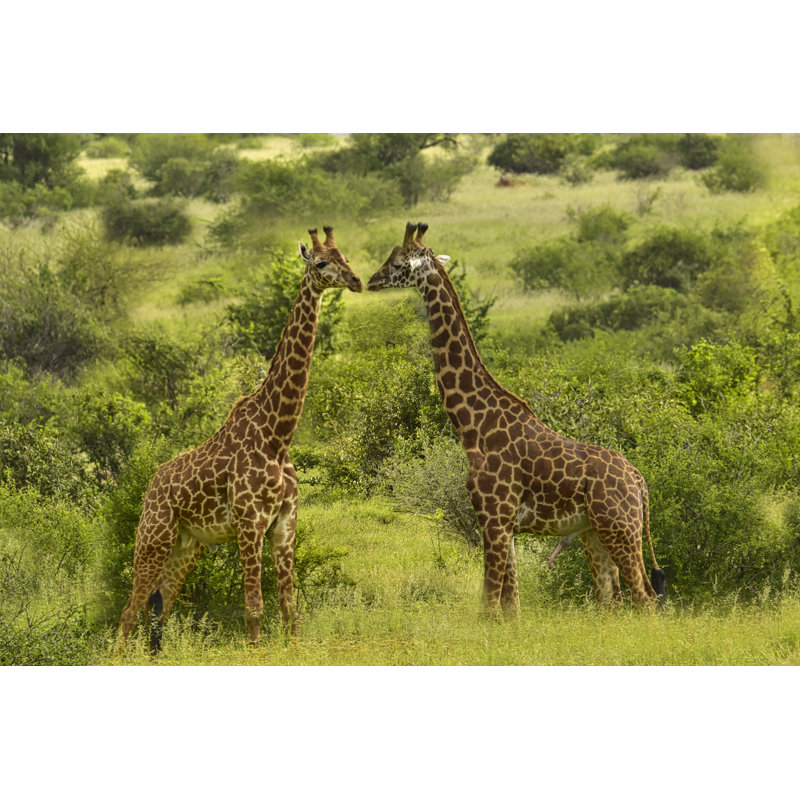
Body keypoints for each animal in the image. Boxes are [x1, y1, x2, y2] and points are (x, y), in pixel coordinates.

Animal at [117, 227, 362, 652]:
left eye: (344, 256)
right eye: (320, 263)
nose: (355, 280)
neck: (277, 436)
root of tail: (150, 485)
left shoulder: (285, 524)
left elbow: (289, 608)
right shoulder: (250, 523)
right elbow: (254, 608)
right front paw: (256, 653)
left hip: (188, 544)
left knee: (160, 604)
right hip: (153, 537)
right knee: (130, 610)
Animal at [367, 222, 666, 614]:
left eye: (399, 262)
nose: (371, 280)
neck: (473, 427)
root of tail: (640, 483)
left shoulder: (494, 519)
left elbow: (488, 606)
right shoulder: (504, 526)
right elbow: (512, 609)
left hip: (621, 529)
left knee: (645, 598)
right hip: (594, 534)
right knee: (610, 600)